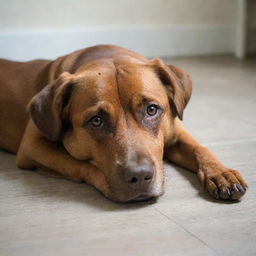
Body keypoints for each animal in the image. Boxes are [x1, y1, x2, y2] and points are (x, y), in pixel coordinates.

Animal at [0, 45, 248, 203]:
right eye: (97, 120)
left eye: (151, 110)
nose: (139, 177)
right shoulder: (33, 146)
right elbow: (80, 164)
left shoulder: (175, 131)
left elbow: (200, 149)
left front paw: (220, 173)